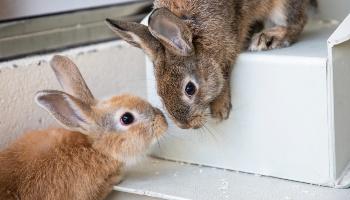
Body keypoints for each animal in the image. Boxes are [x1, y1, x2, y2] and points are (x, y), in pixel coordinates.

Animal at [105, 0, 316, 128]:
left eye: (189, 89)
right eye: (159, 91)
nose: (185, 126)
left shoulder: (229, 43)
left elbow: (224, 75)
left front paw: (220, 110)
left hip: (282, 7)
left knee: (296, 22)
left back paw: (269, 38)